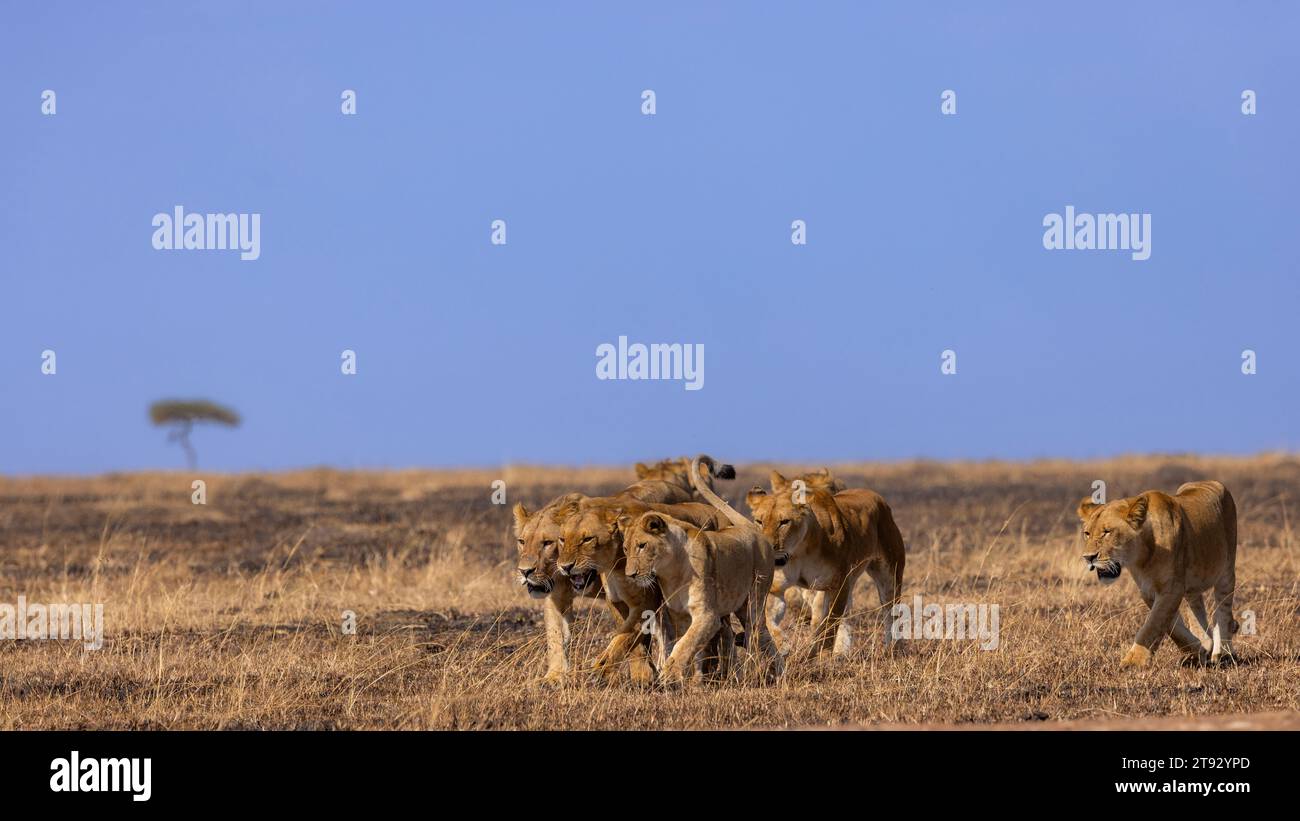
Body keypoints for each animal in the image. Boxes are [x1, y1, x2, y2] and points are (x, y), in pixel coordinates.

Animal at [746, 470, 906, 658]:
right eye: (759, 521)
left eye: (784, 522)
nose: (765, 549)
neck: (798, 551)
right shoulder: (775, 589)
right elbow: (767, 619)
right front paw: (782, 645)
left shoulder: (837, 585)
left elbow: (829, 626)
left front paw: (819, 654)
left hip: (889, 576)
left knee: (890, 613)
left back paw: (892, 650)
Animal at [1077, 480, 1239, 668]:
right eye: (1087, 533)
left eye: (1107, 532)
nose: (1088, 557)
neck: (1142, 557)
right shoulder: (1149, 591)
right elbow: (1171, 626)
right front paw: (1197, 650)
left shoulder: (1171, 588)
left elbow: (1153, 625)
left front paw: (1133, 661)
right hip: (1192, 585)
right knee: (1196, 606)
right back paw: (1205, 644)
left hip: (1226, 571)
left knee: (1223, 610)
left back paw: (1223, 653)